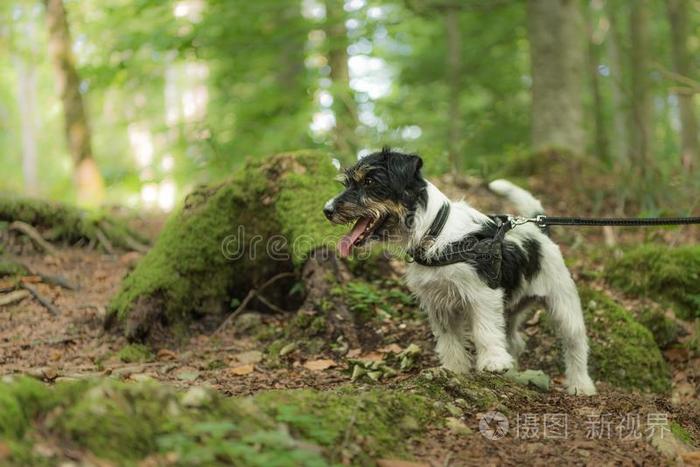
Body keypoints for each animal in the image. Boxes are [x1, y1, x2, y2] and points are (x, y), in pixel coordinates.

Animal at [324, 149, 596, 394]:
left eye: (370, 182)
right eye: (348, 182)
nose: (327, 210)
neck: (435, 233)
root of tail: (540, 230)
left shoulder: (482, 295)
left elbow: (484, 331)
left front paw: (492, 363)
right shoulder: (438, 304)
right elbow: (449, 341)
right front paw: (455, 370)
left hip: (563, 305)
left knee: (575, 344)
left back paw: (581, 385)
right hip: (510, 308)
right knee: (514, 340)